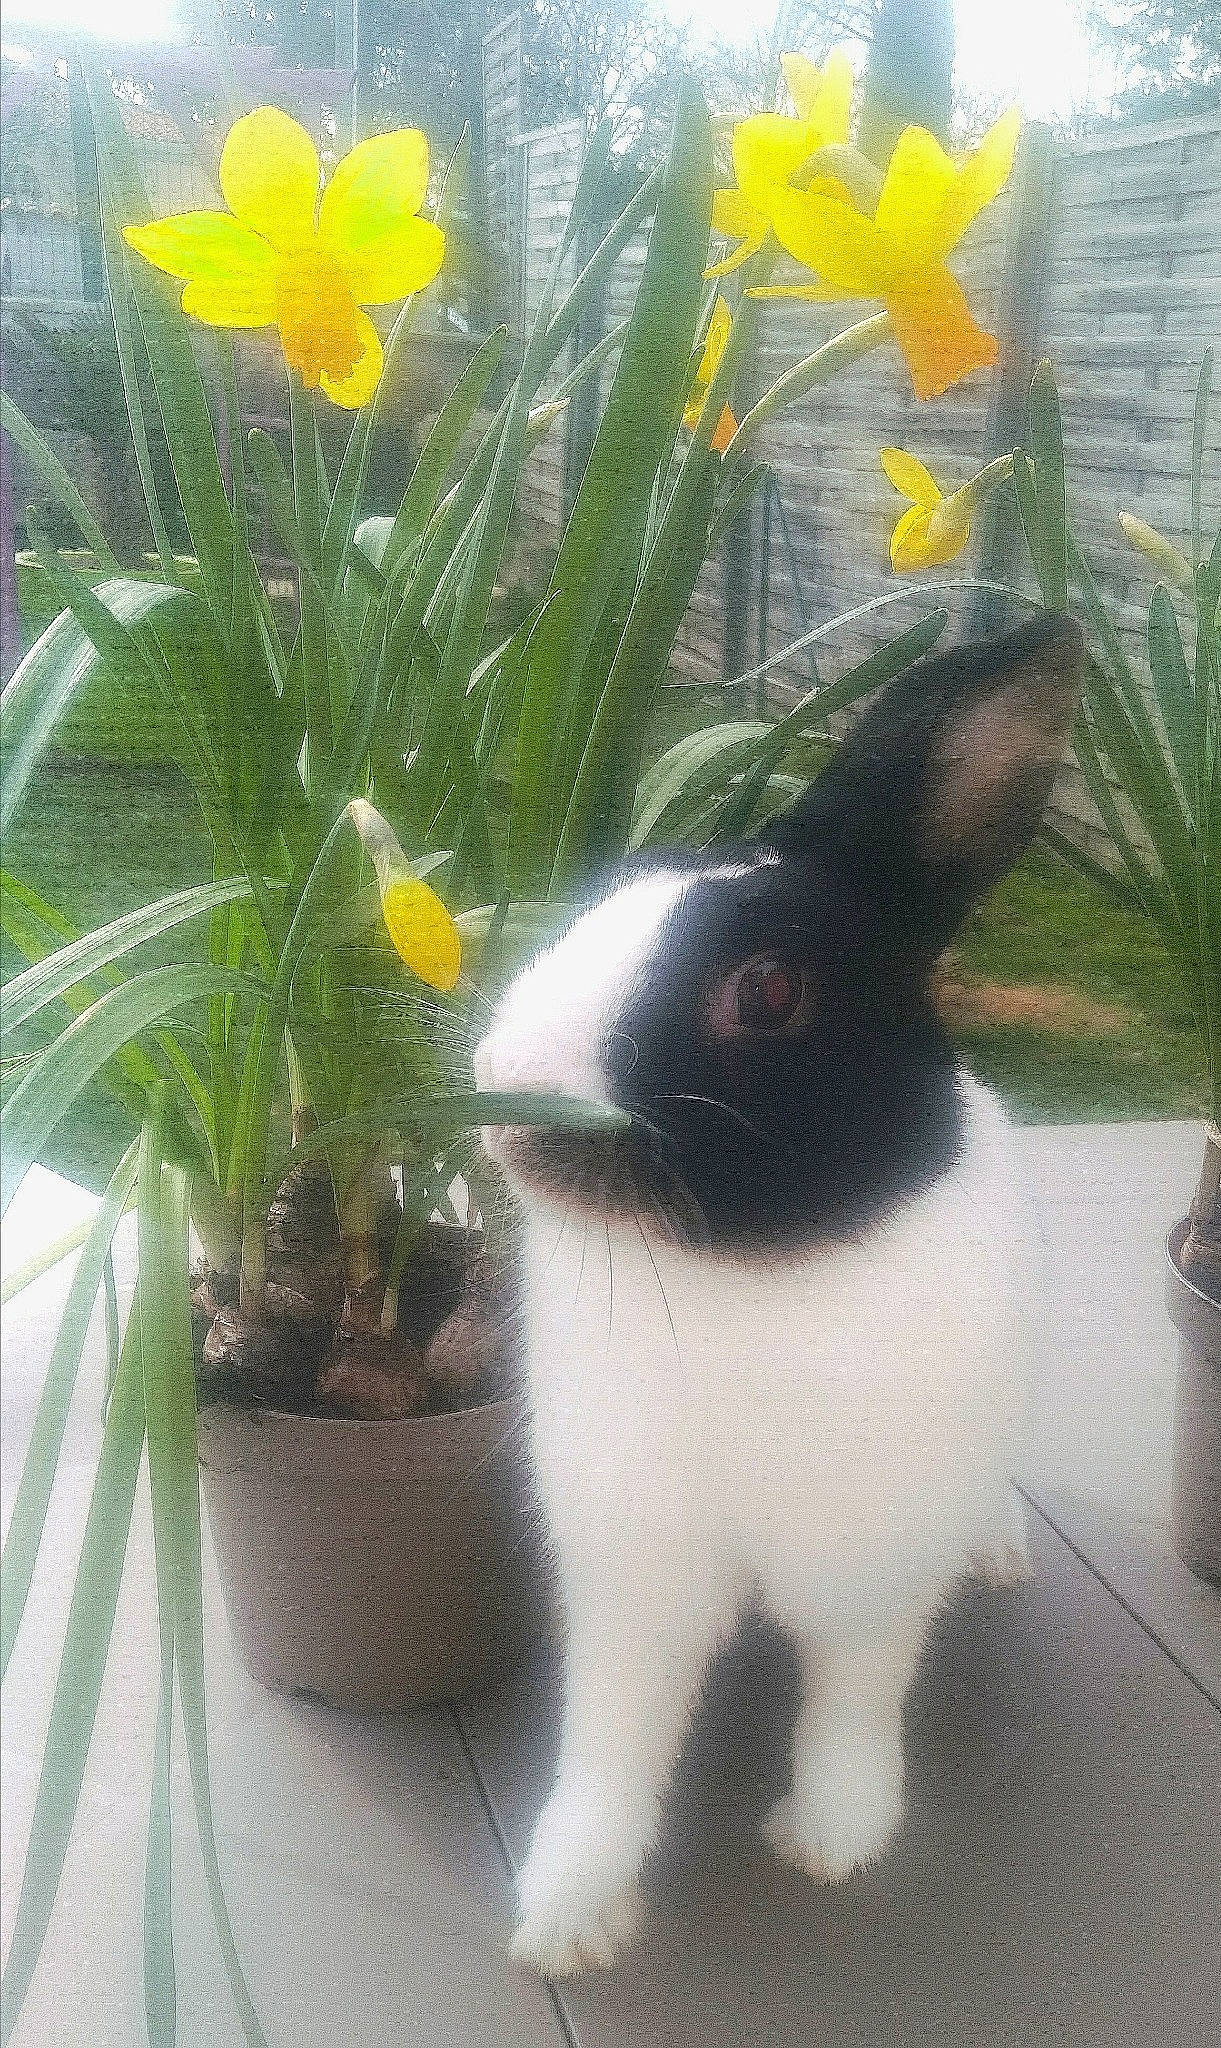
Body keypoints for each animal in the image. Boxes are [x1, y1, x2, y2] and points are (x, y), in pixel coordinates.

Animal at [473, 611, 1084, 1977]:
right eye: (600, 899)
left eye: (765, 989)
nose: (503, 1087)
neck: (750, 1273)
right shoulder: (633, 1564)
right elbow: (613, 1739)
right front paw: (566, 1921)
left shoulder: (869, 1565)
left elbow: (854, 1696)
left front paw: (833, 1840)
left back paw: (1002, 1554)